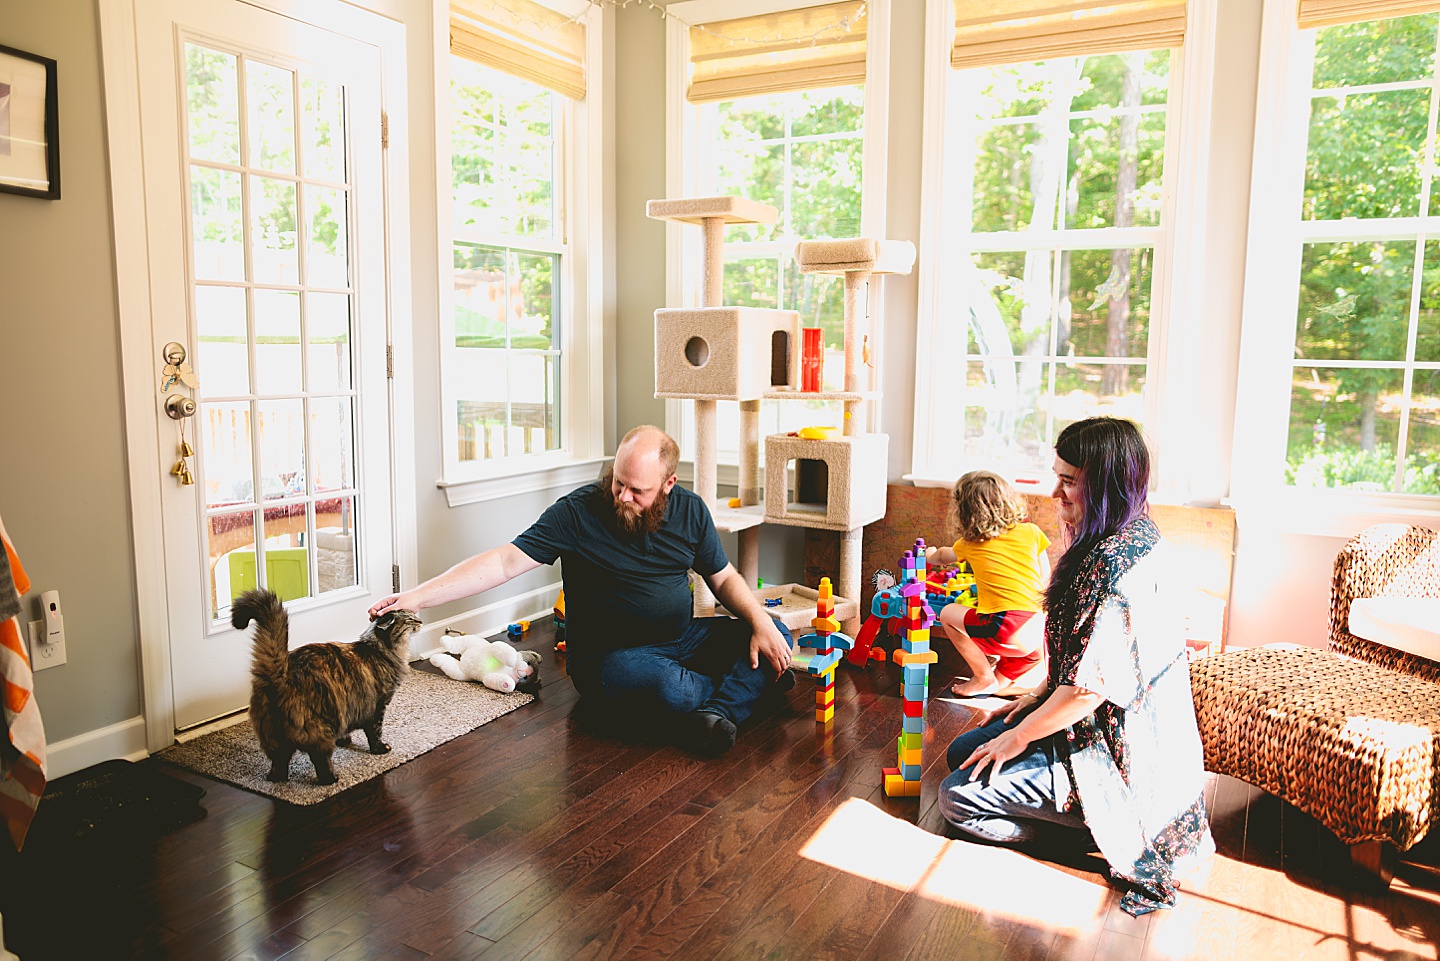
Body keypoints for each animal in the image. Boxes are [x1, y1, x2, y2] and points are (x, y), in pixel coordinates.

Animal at [231, 590, 420, 783]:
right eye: (410, 619)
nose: (420, 621)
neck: (380, 651)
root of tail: (282, 673)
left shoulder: (348, 710)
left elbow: (347, 731)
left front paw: (345, 740)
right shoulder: (377, 706)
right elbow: (375, 733)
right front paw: (380, 749)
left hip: (273, 738)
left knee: (279, 763)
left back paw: (278, 779)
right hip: (320, 731)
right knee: (320, 759)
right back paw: (331, 779)